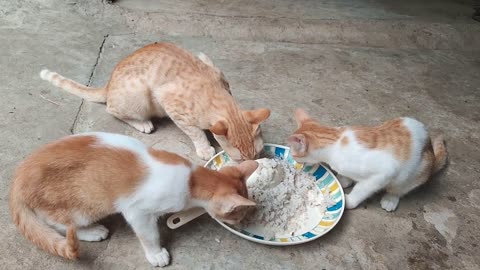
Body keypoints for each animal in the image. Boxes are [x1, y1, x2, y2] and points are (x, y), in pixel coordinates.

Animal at [8, 132, 258, 266]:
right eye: (239, 215)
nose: (243, 223)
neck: (192, 179)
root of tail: (19, 176)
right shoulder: (137, 211)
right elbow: (149, 234)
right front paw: (156, 254)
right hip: (82, 206)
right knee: (58, 224)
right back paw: (92, 231)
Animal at [38, 42, 270, 160]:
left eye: (258, 154)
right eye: (239, 160)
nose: (253, 165)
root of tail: (109, 84)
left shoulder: (211, 64)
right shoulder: (170, 103)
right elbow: (195, 132)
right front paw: (204, 148)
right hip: (139, 94)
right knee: (112, 110)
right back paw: (142, 123)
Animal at [284, 108, 446, 212]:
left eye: (294, 154)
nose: (295, 162)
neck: (335, 141)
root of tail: (430, 148)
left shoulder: (384, 172)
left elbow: (362, 189)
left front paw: (349, 201)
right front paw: (344, 180)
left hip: (416, 172)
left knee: (399, 189)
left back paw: (390, 199)